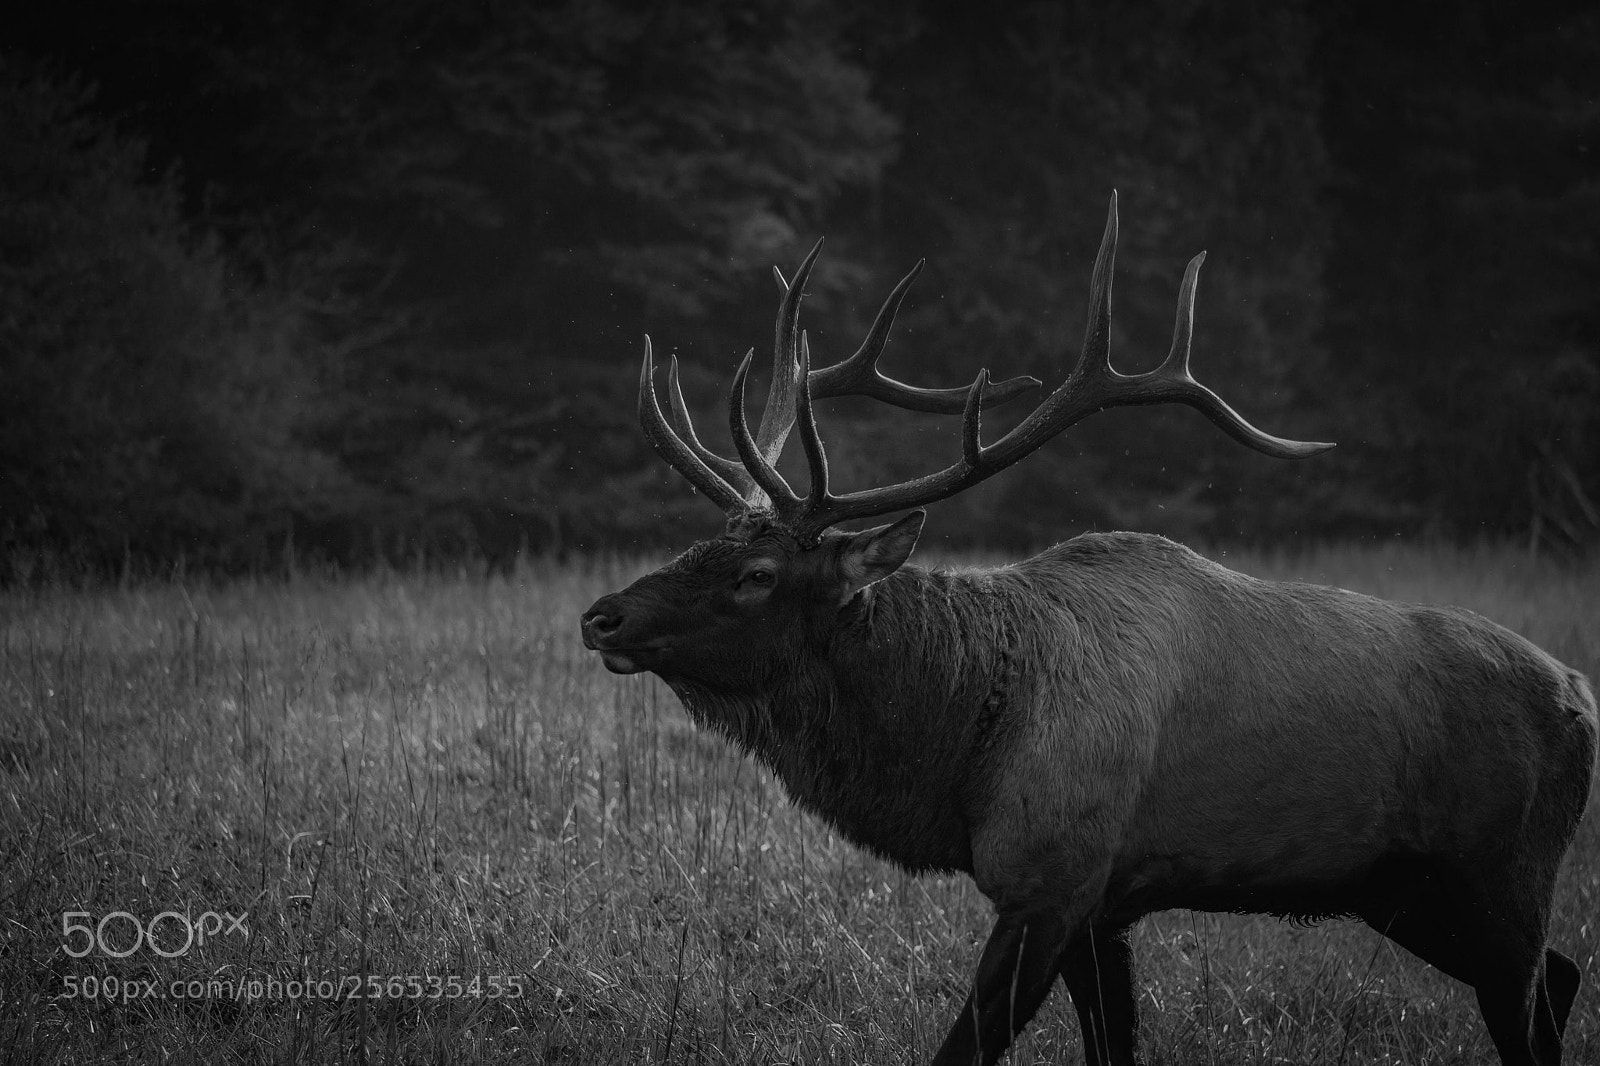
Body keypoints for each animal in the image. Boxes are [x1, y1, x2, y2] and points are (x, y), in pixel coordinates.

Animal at [580, 194, 1597, 1066]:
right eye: (700, 542)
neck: (962, 753)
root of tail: (1581, 696)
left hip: (1504, 873)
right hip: (1408, 893)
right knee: (1563, 972)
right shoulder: (1099, 907)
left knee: (1533, 999)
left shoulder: (1053, 880)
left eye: (757, 576)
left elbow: (964, 1051)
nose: (601, 614)